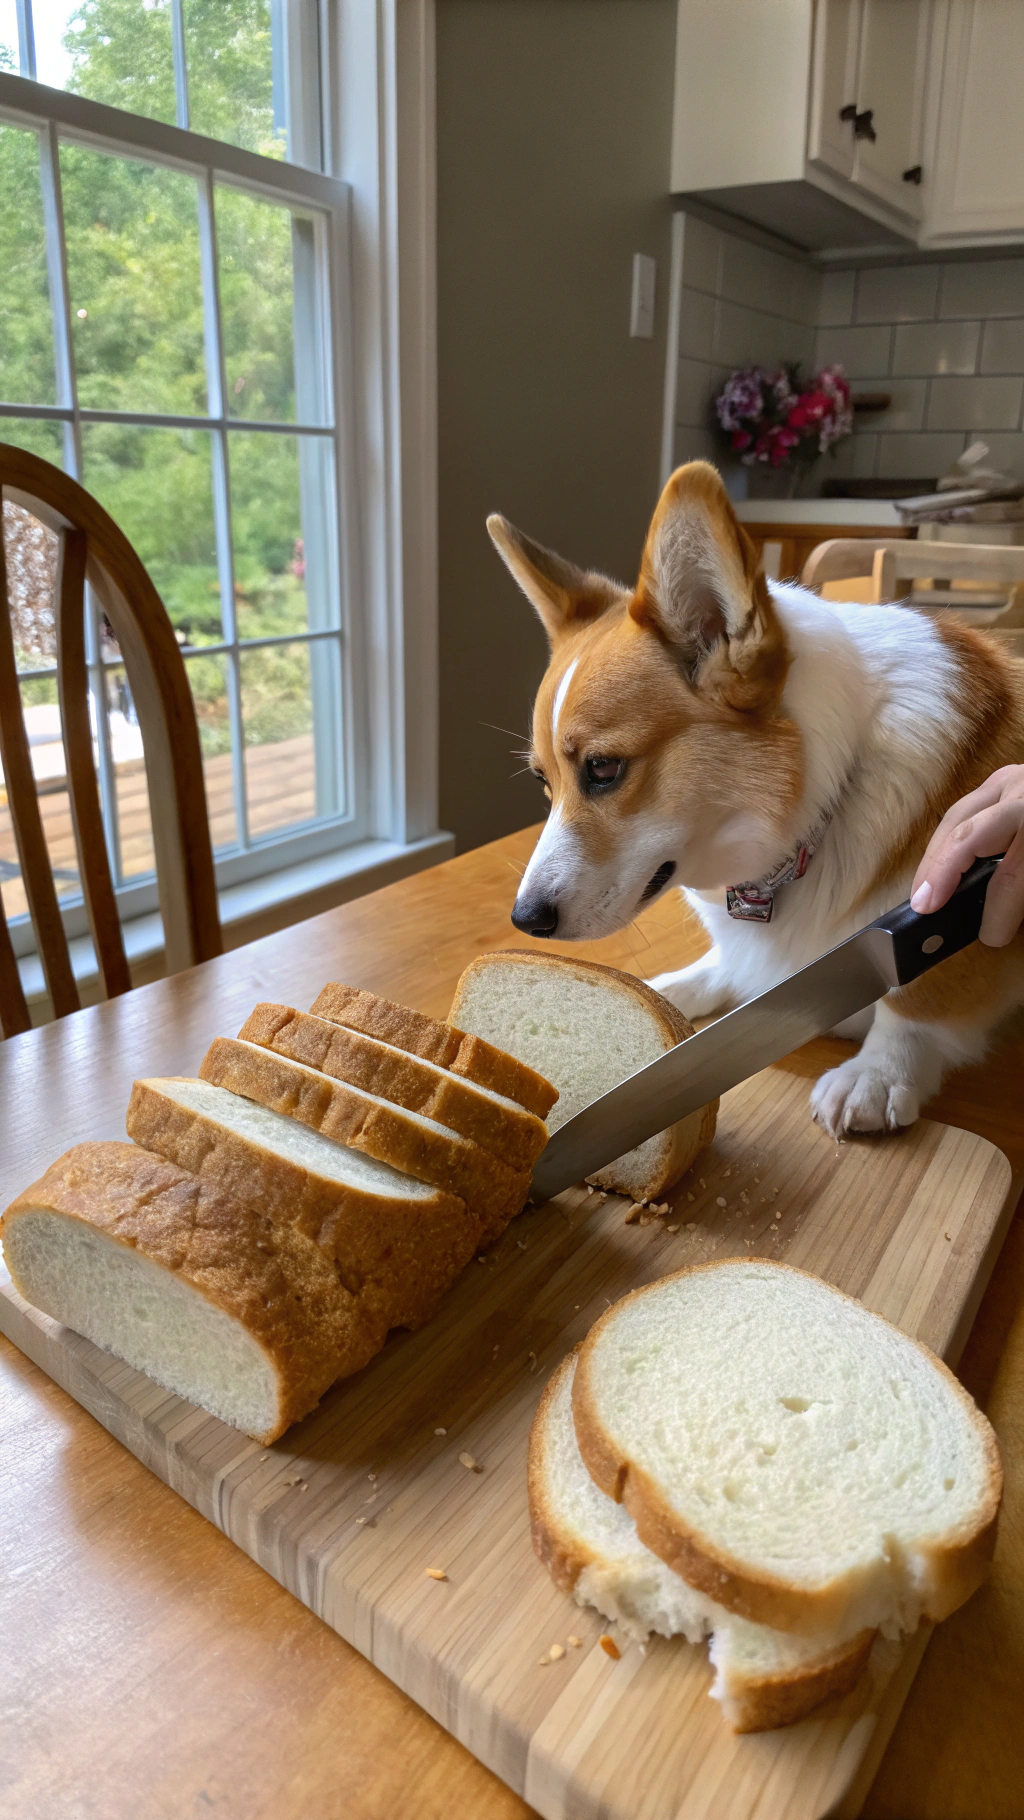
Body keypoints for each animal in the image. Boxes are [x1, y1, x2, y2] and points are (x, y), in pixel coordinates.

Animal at [487, 458, 1024, 1135]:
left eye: (604, 769)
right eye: (543, 781)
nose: (524, 921)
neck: (821, 806)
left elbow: (914, 1005)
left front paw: (875, 1076)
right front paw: (672, 995)